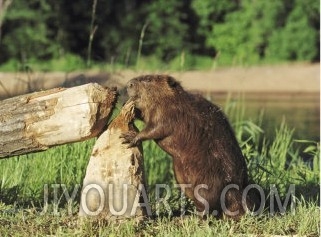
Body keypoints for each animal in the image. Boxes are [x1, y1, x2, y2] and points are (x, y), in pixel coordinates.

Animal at [120, 74, 255, 218]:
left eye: (148, 79)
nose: (129, 84)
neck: (173, 100)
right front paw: (128, 106)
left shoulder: (171, 113)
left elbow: (156, 128)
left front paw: (130, 137)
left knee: (209, 204)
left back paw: (195, 216)